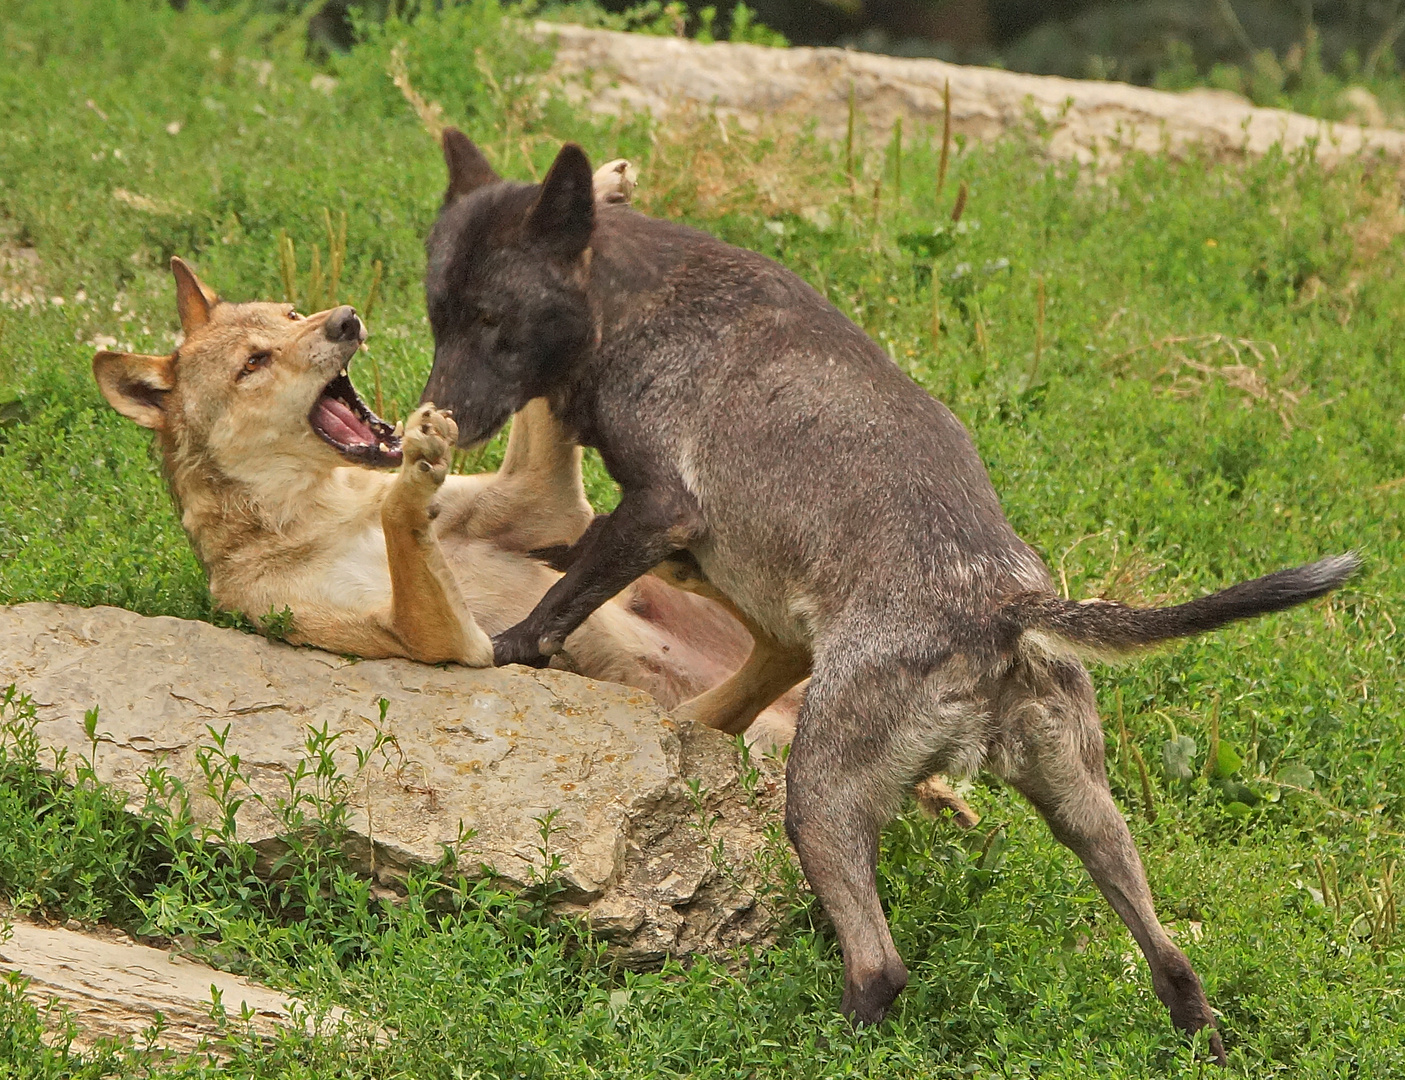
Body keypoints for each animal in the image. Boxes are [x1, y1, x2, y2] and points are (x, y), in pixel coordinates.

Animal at [415, 128, 1360, 1061]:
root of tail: (998, 609)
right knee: (1174, 965)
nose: (435, 418)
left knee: (879, 968)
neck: (636, 297)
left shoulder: (655, 509)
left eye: (492, 320)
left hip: (821, 801)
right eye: (437, 315)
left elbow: (561, 597)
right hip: (1090, 817)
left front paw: (506, 645)